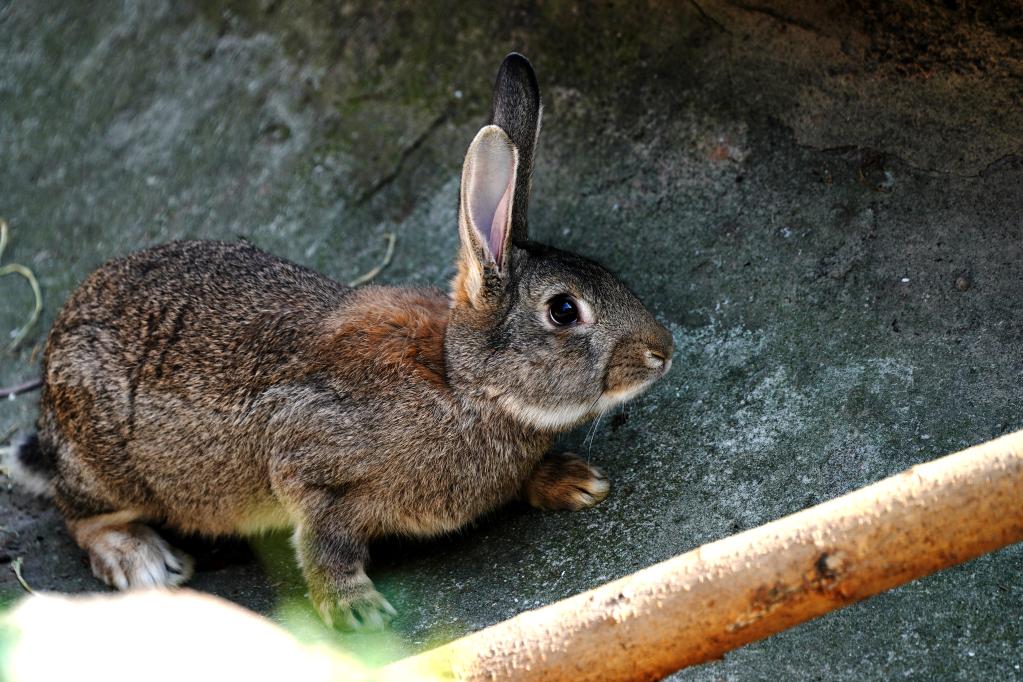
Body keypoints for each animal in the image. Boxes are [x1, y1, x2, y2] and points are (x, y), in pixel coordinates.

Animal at [9, 52, 679, 629]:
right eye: (564, 310)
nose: (662, 350)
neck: (461, 381)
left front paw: (573, 481)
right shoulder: (306, 458)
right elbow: (322, 539)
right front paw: (356, 612)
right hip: (110, 462)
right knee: (79, 515)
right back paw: (142, 560)